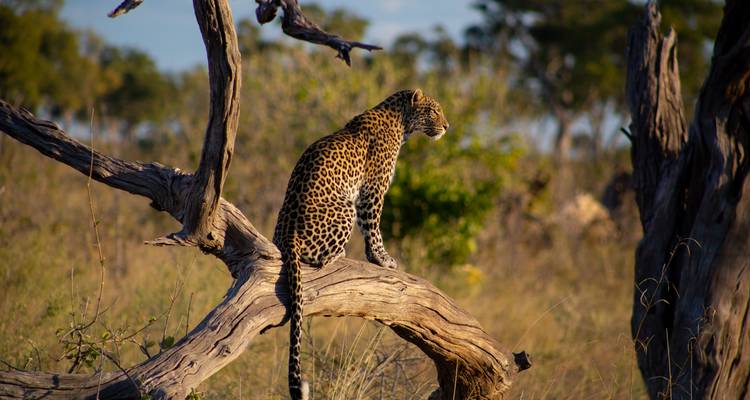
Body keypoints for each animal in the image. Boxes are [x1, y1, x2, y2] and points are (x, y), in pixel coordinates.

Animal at [272, 88, 449, 400]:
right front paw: (382, 259)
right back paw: (340, 254)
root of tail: (287, 235)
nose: (447, 126)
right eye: (434, 111)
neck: (401, 121)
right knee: (317, 258)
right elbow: (373, 228)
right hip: (345, 207)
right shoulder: (373, 190)